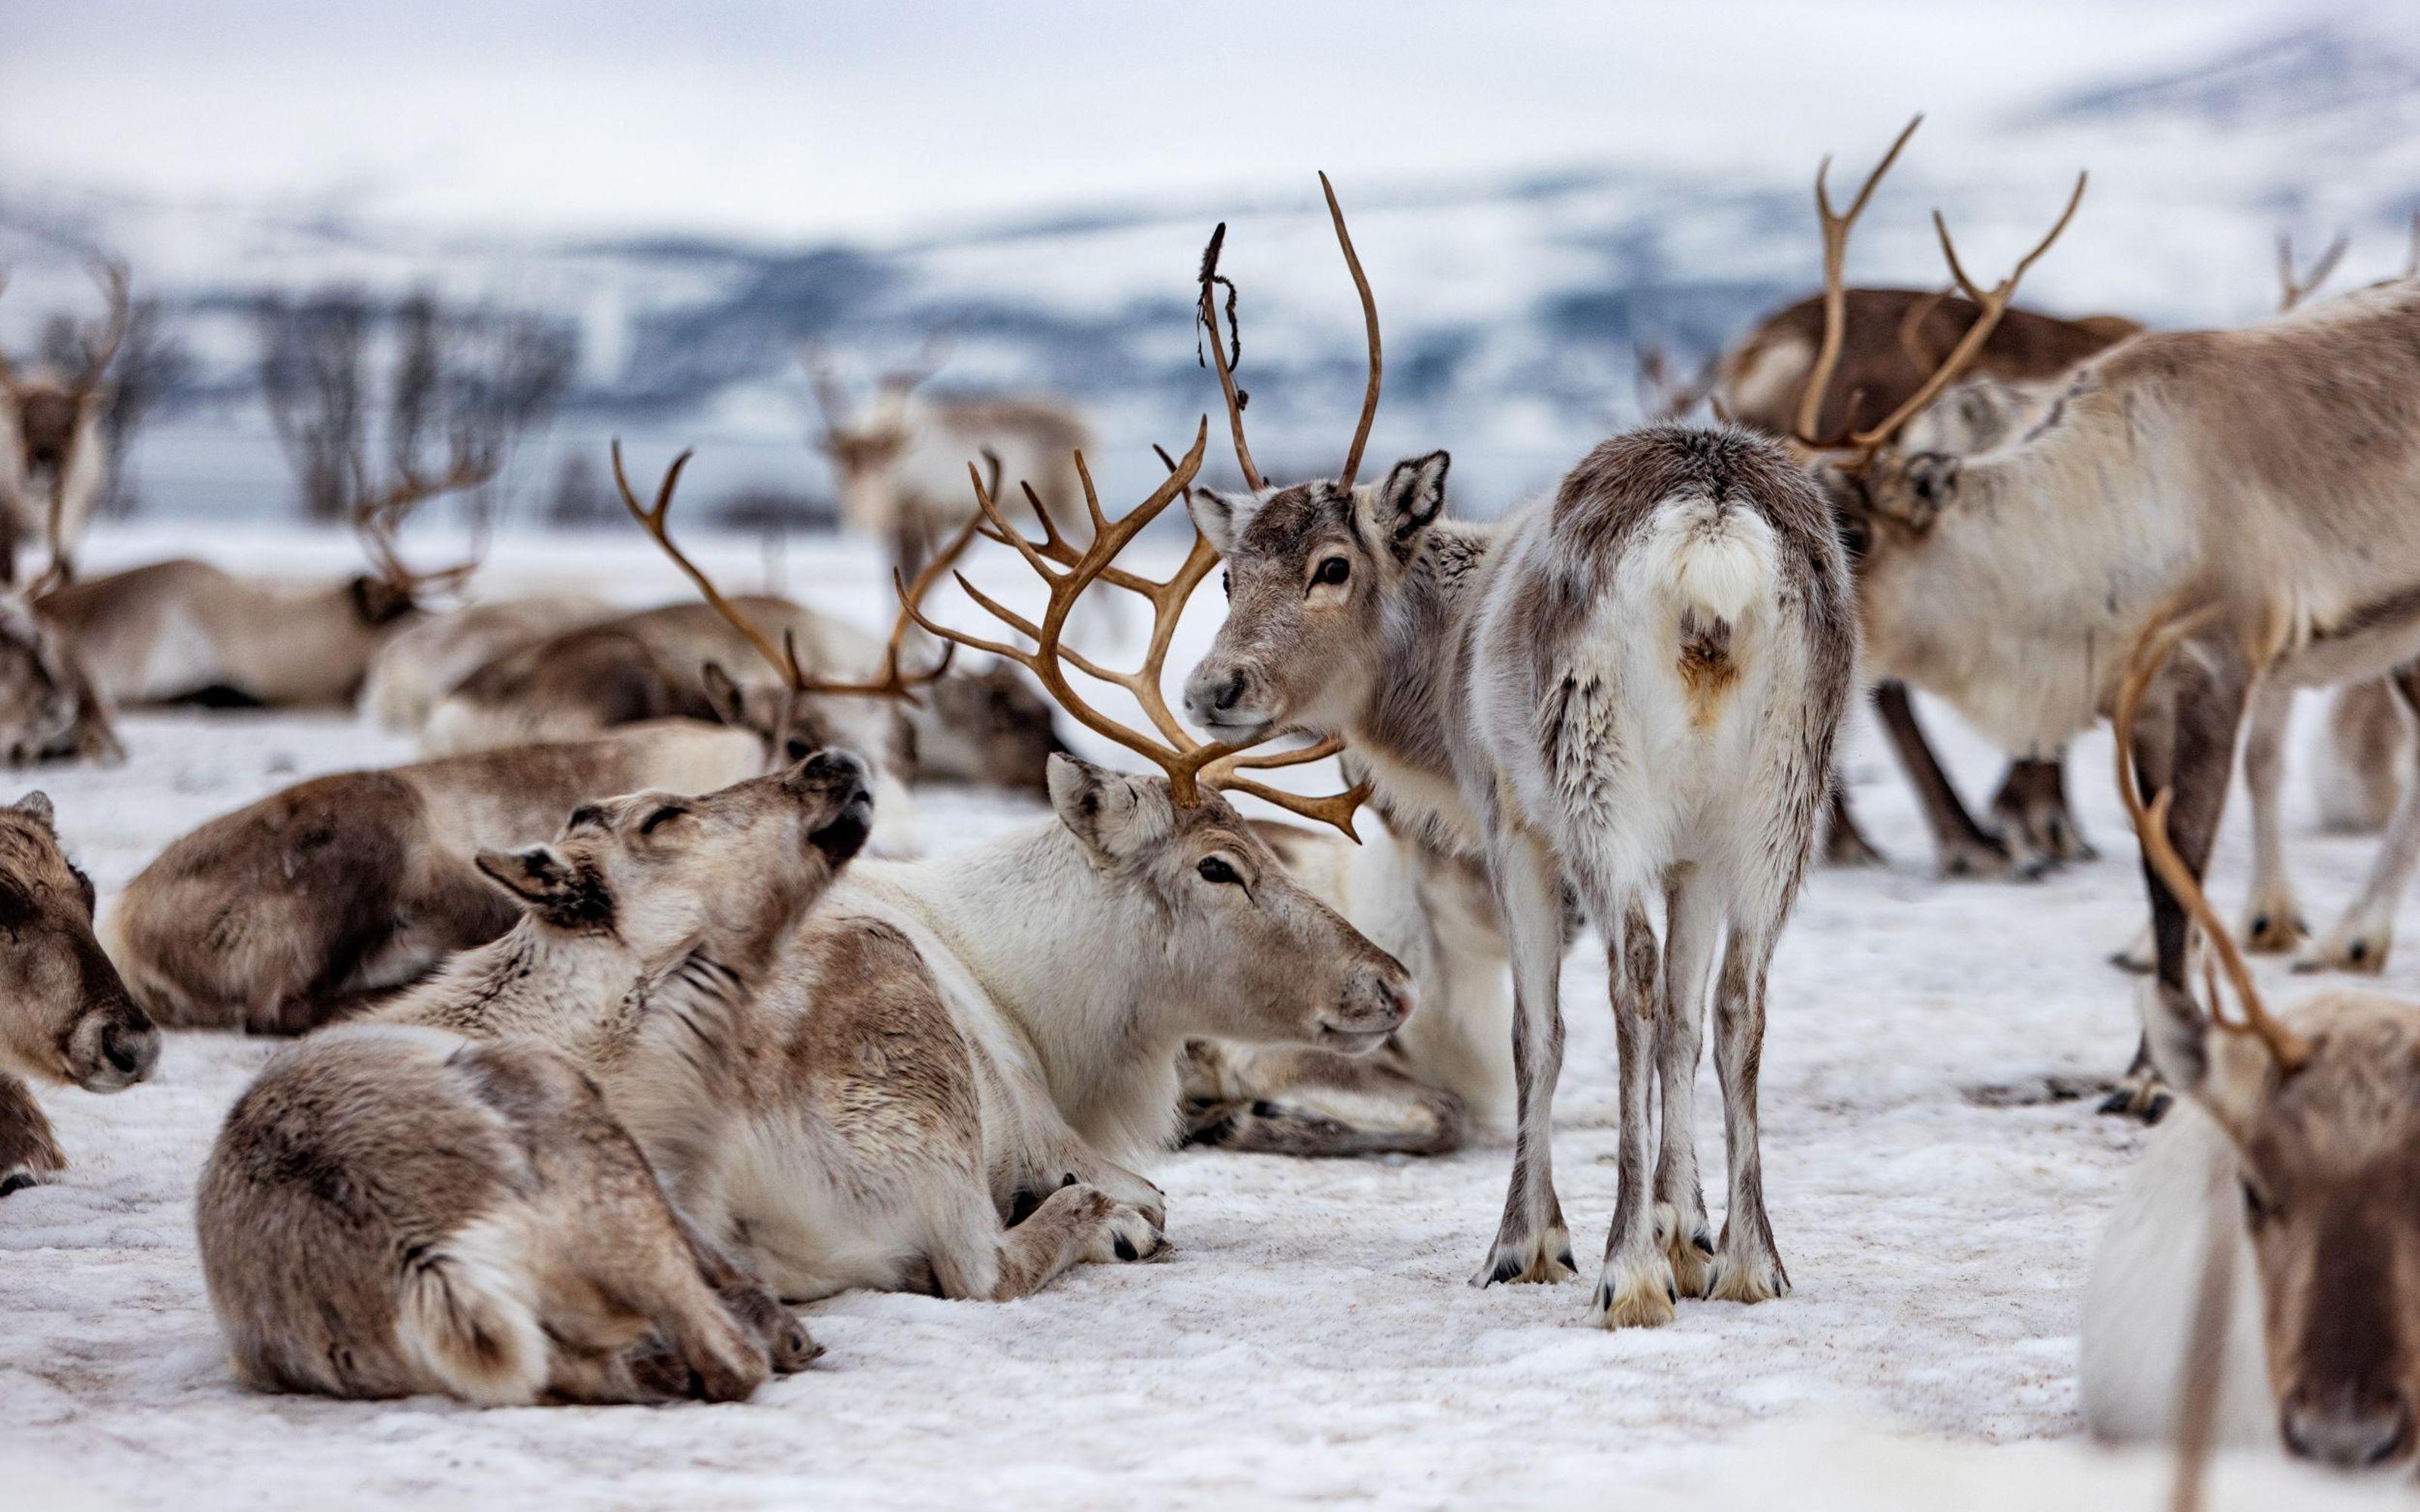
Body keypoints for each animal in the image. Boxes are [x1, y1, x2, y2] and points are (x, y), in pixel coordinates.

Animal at [196, 751, 870, 1404]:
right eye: (661, 816)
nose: (834, 761)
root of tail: (430, 1258)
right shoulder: (663, 1181)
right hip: (595, 1160)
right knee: (727, 1359)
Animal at [1178, 175, 1857, 1328]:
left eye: (1330, 566)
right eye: (1226, 574)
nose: (1212, 687)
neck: (1443, 652)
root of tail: (1714, 528)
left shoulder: (1507, 819)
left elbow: (1538, 1033)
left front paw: (1535, 1242)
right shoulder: (1692, 847)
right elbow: (1688, 1023)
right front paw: (1688, 1233)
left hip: (1595, 779)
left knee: (1627, 988)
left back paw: (1625, 1272)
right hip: (1781, 799)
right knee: (1738, 1001)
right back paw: (1754, 1260)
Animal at [1810, 138, 2420, 1120]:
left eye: (1857, 533)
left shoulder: (2216, 664)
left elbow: (2184, 879)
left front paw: (2151, 1078)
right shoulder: (2135, 704)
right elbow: (2162, 881)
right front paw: (2141, 1064)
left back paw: (2351, 937)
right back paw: (2351, 938)